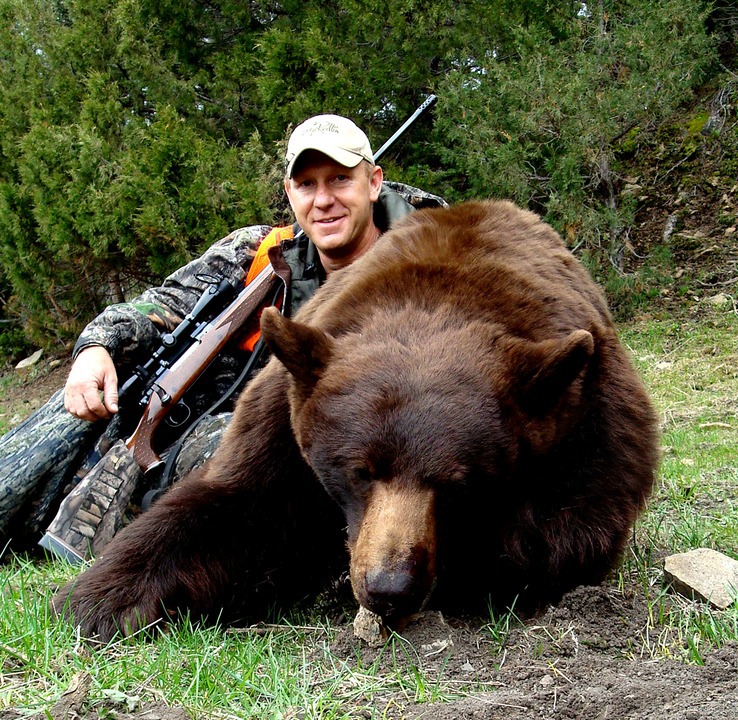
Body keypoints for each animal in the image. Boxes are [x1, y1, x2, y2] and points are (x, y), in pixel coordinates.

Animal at [55, 200, 659, 642]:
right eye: (359, 470)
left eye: (456, 484)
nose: (388, 588)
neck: (440, 292)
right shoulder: (284, 410)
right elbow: (233, 505)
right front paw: (98, 600)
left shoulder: (591, 412)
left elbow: (567, 534)